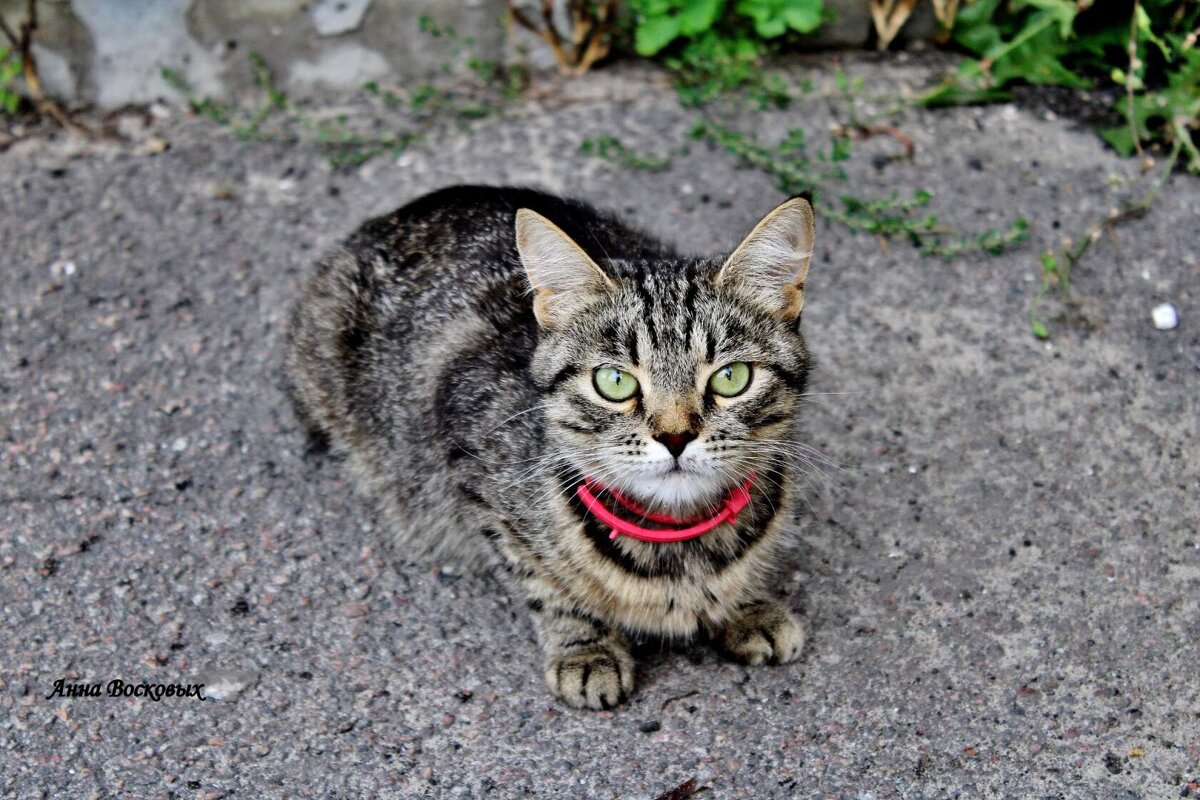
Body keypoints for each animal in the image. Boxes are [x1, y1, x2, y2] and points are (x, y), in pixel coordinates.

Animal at [285, 185, 820, 705]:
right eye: (614, 382)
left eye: (732, 378)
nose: (675, 437)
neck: (679, 543)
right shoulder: (471, 464)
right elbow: (544, 582)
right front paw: (585, 648)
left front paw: (746, 605)